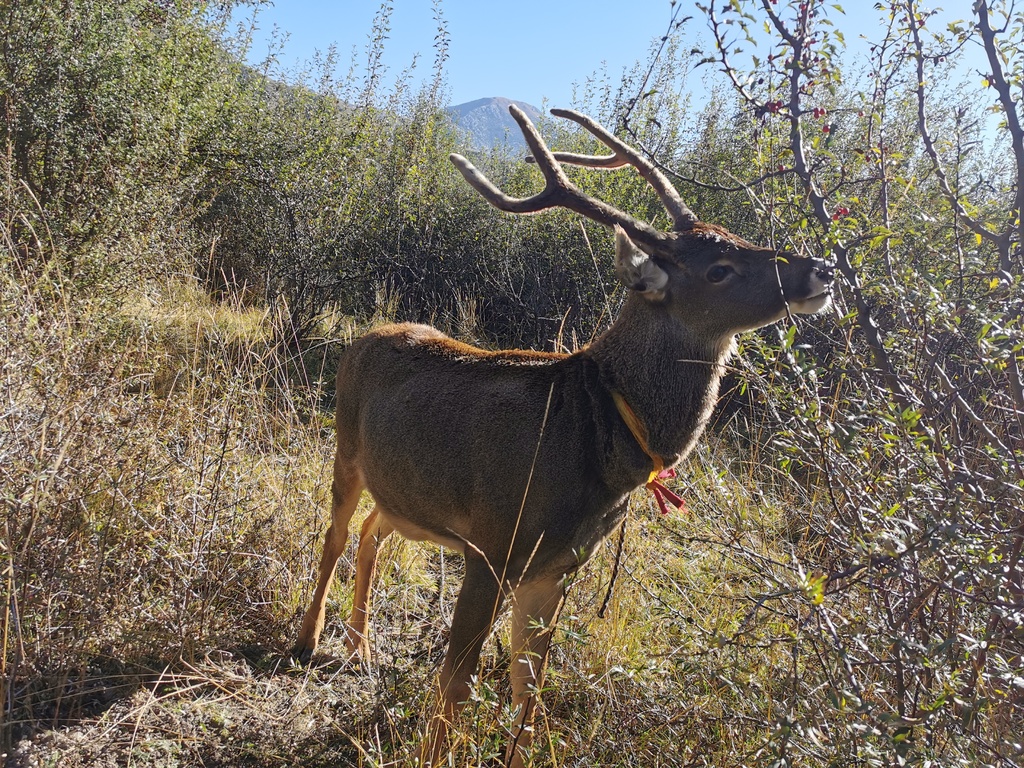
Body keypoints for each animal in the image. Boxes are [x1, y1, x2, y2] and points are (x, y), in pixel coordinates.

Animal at [290, 105, 831, 765]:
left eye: (738, 237)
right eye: (719, 269)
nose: (820, 269)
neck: (598, 439)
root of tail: (365, 335)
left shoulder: (558, 566)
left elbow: (531, 688)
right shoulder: (494, 545)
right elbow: (457, 682)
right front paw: (435, 750)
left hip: (410, 499)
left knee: (374, 531)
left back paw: (361, 646)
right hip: (346, 447)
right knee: (336, 534)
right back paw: (309, 640)